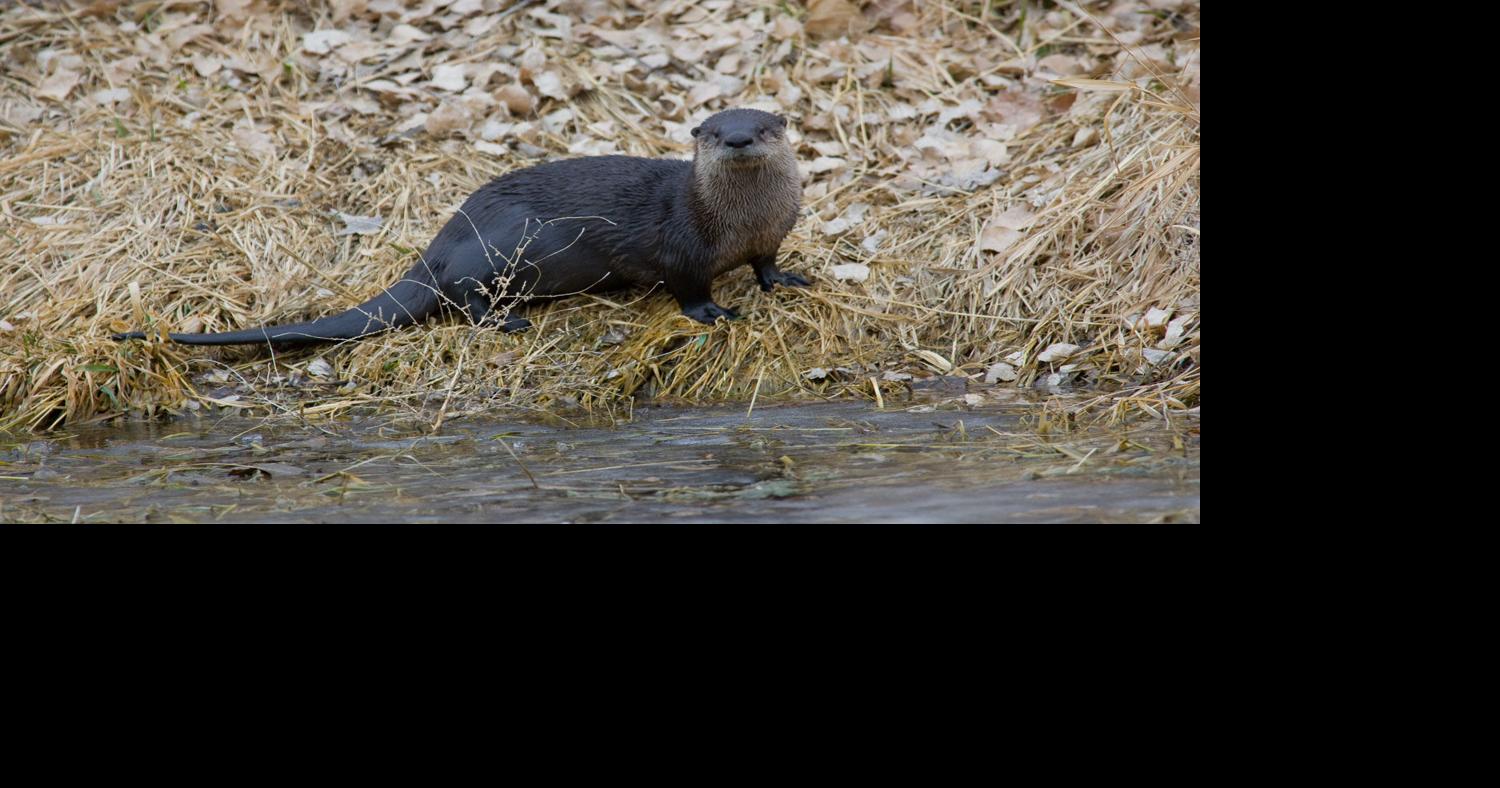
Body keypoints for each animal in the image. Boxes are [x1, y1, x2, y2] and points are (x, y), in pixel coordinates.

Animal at [114, 107, 808, 347]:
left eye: (763, 127)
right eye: (713, 133)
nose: (739, 139)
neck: (737, 222)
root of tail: (439, 248)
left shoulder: (771, 232)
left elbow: (767, 262)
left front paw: (785, 280)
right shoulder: (681, 247)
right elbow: (687, 287)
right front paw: (712, 313)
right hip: (504, 251)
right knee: (464, 296)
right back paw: (506, 321)